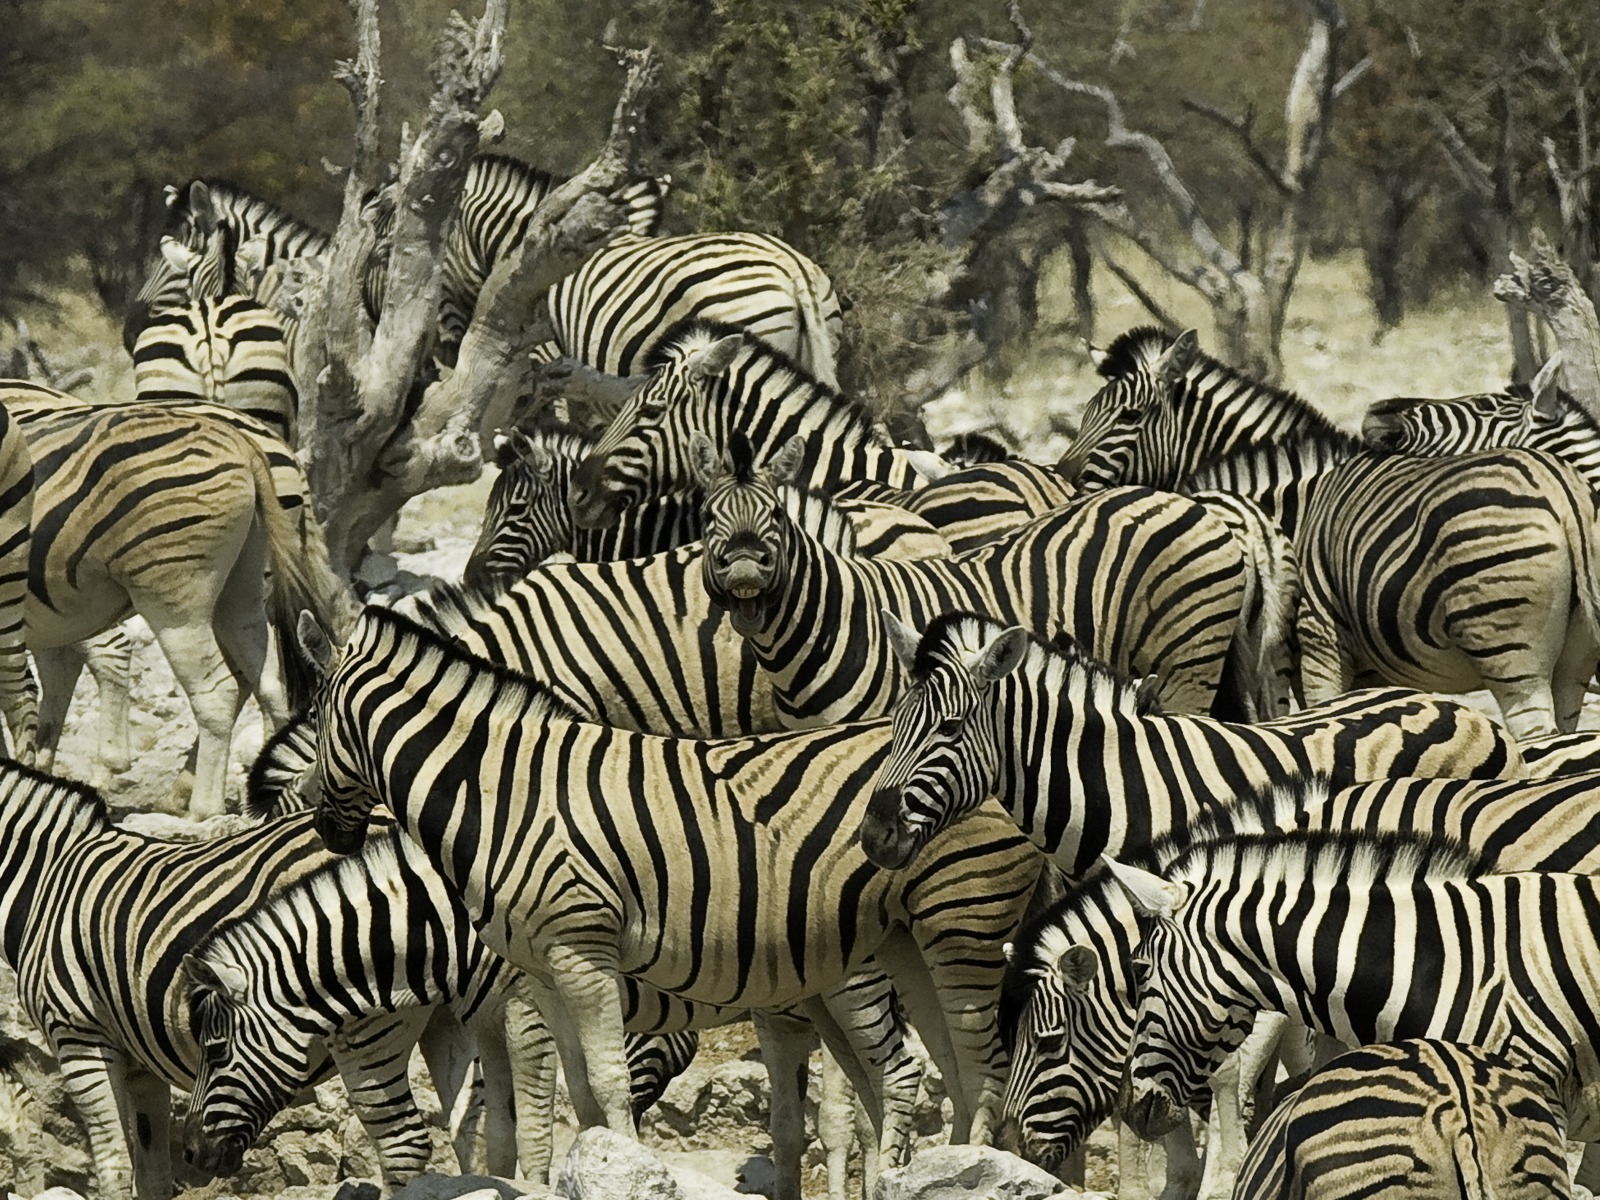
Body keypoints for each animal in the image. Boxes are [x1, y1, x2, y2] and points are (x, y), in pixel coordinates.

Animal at [3, 388, 353, 815]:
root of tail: (247, 442)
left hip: (175, 597)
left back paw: (201, 807)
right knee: (268, 681)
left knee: (218, 690)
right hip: (241, 590)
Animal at [299, 603, 1044, 1193]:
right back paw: (940, 1173)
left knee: (972, 1064)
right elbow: (580, 1095)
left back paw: (969, 1172)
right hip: (903, 942)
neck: (503, 794)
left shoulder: (581, 953)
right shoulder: (540, 973)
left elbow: (605, 1084)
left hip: (959, 927)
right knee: (943, 1067)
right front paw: (598, 1168)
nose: (321, 825)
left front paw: (625, 1170)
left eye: (313, 713)